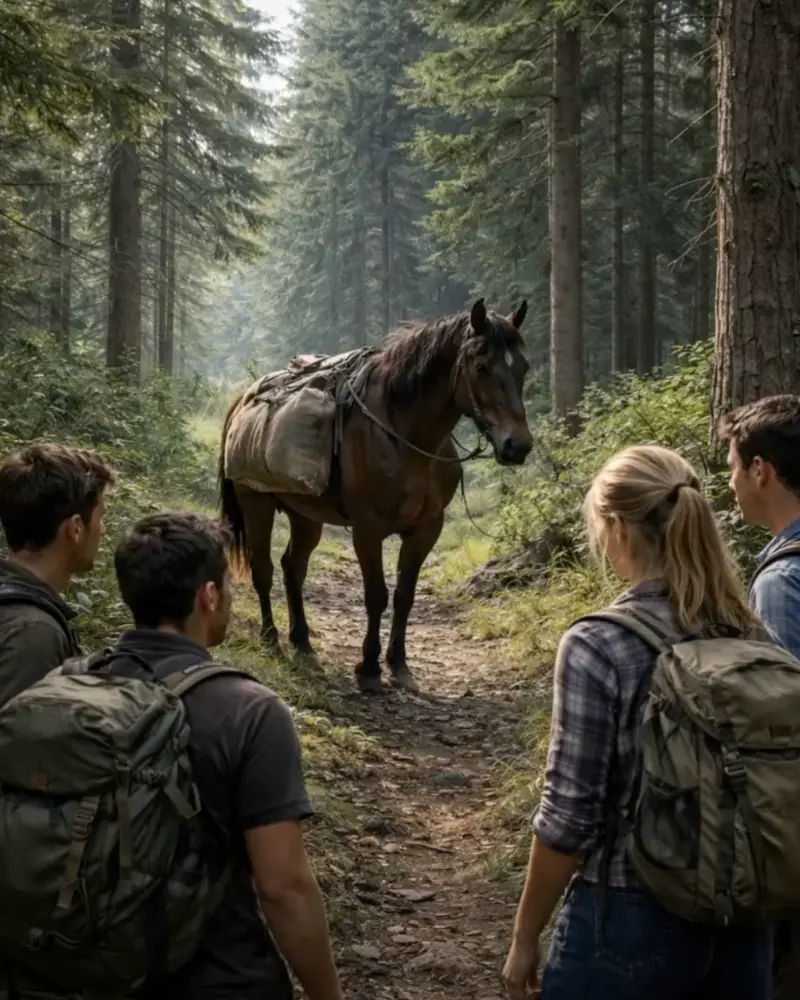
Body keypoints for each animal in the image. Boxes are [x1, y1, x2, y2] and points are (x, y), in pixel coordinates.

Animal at [217, 297, 533, 694]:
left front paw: (399, 665)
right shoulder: (368, 530)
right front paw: (368, 668)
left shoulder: (427, 530)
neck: (402, 436)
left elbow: (404, 596)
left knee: (294, 569)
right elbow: (376, 595)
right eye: (481, 367)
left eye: (523, 366)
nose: (518, 446)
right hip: (256, 505)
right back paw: (271, 640)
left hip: (306, 516)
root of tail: (243, 401)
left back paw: (303, 644)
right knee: (263, 569)